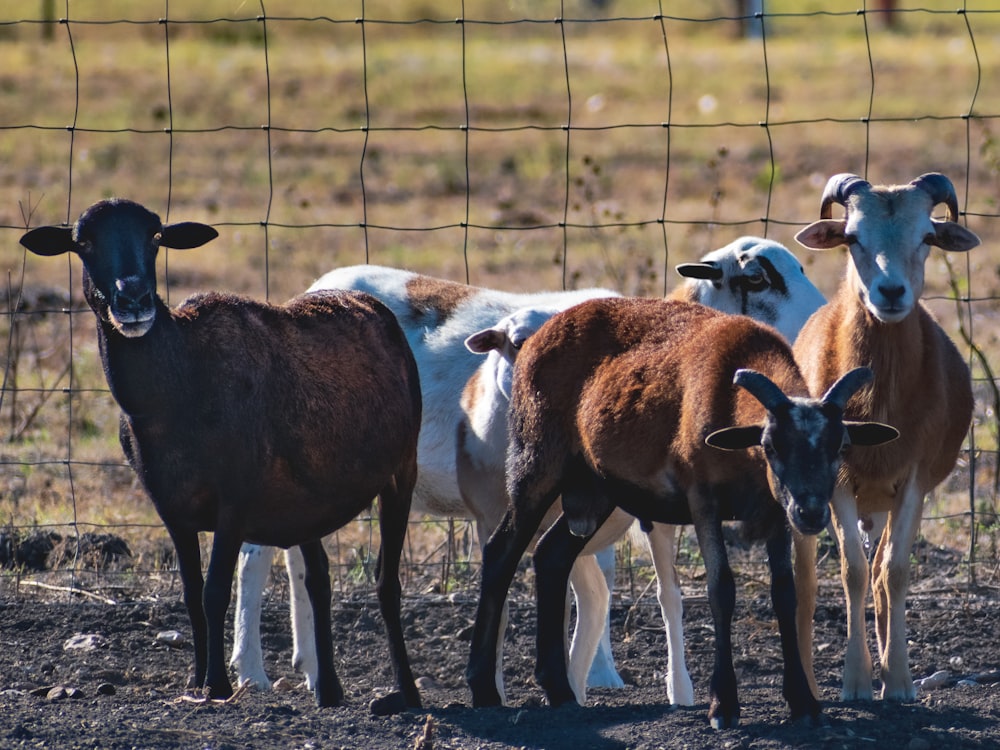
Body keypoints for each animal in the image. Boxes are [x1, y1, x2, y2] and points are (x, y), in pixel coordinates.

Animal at [19, 200, 420, 716]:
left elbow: (214, 592)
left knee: (387, 583)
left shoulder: (235, 499)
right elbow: (191, 594)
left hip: (402, 469)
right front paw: (195, 680)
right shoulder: (171, 507)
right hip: (308, 501)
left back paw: (406, 692)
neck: (177, 385)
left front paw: (218, 685)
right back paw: (328, 689)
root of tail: (367, 303)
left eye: (155, 237)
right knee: (319, 579)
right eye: (83, 242)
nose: (134, 300)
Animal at [468, 296, 900, 732]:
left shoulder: (776, 510)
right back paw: (484, 688)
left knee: (550, 555)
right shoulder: (702, 498)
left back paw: (559, 690)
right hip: (537, 460)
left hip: (597, 486)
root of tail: (541, 334)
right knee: (502, 552)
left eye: (841, 446)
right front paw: (723, 705)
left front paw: (803, 702)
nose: (811, 513)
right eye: (770, 446)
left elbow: (785, 592)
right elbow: (721, 589)